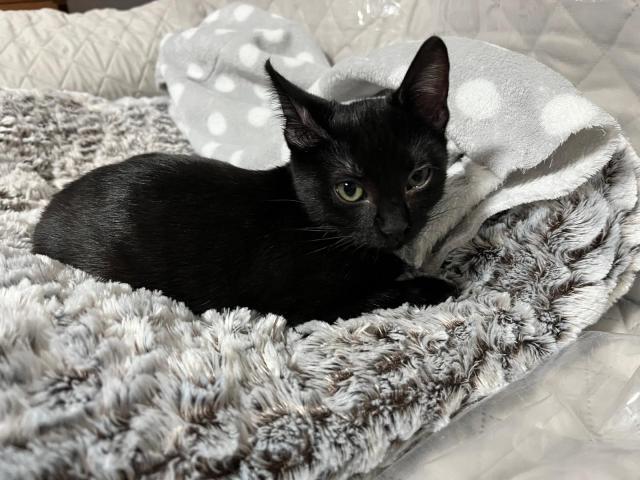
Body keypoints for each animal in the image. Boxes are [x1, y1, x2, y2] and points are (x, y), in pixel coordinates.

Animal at [32, 36, 456, 326]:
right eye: (349, 190)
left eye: (418, 178)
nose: (396, 227)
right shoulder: (306, 308)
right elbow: (380, 295)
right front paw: (437, 285)